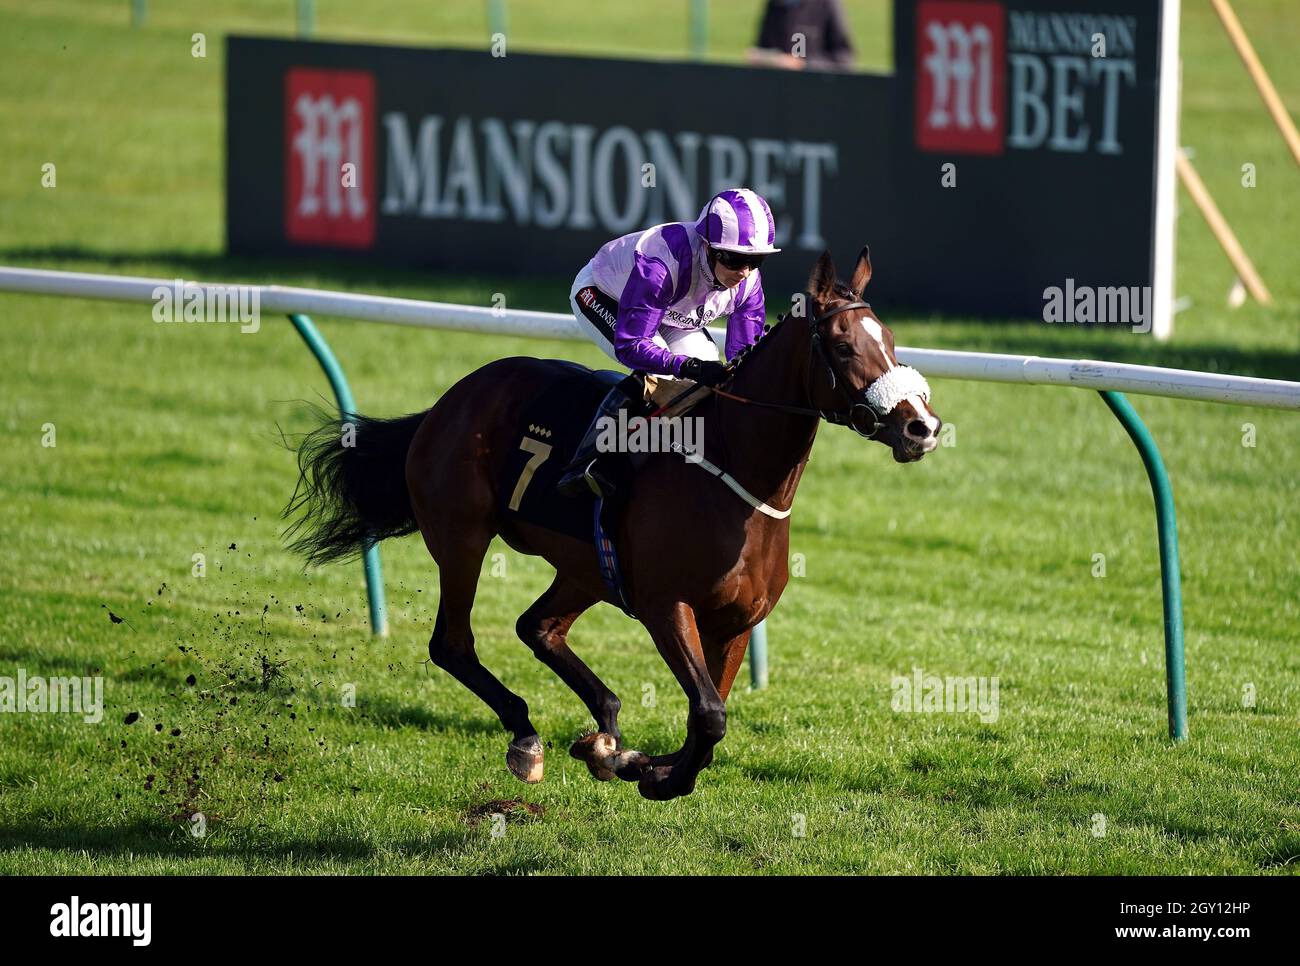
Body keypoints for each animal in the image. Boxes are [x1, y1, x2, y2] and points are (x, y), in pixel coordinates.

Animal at [284, 247, 941, 800]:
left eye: (890, 338)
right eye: (842, 344)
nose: (922, 426)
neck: (736, 479)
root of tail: (447, 402)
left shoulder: (735, 622)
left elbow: (707, 720)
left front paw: (636, 762)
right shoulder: (665, 604)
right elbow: (709, 715)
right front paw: (655, 775)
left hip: (588, 568)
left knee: (538, 627)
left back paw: (604, 731)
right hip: (462, 535)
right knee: (452, 642)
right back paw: (527, 738)